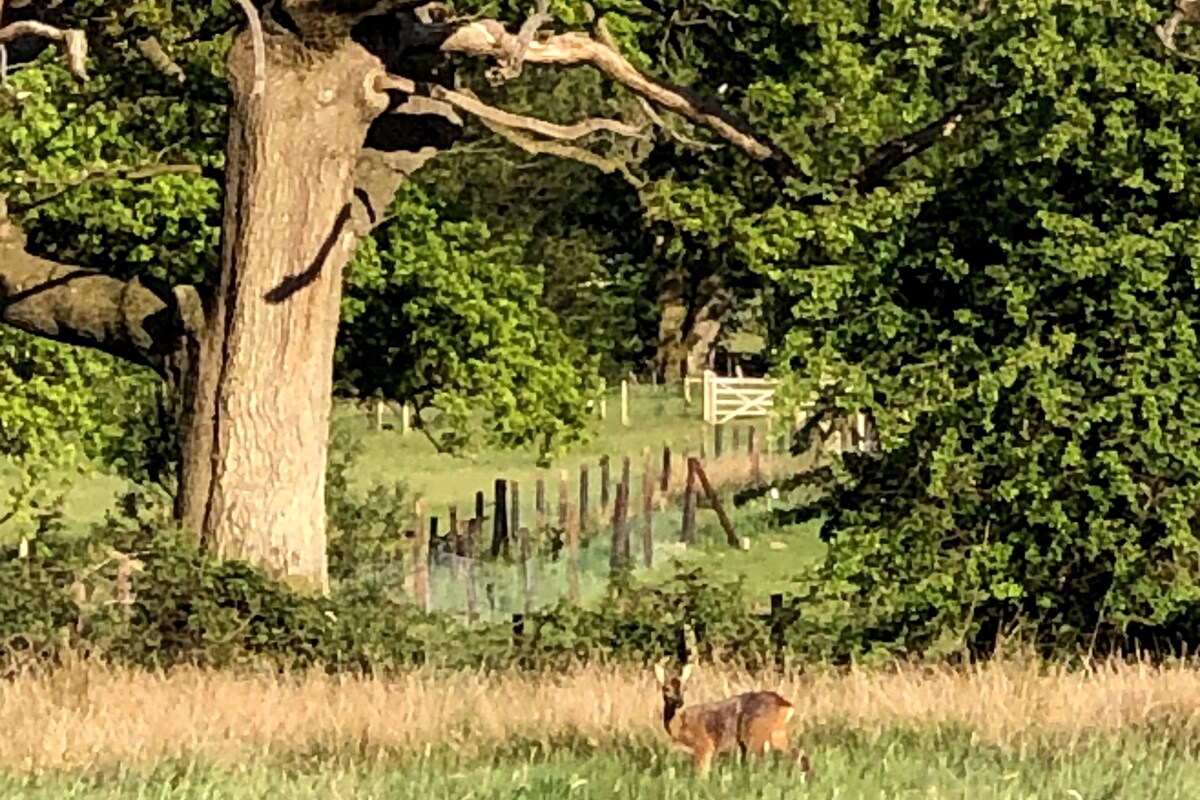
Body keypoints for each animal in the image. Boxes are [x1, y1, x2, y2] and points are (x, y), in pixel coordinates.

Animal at [652, 662, 811, 777]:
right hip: (778, 734)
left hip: (756, 735)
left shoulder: (705, 745)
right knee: (800, 757)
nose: (679, 702)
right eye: (665, 688)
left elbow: (702, 775)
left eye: (685, 688)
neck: (681, 727)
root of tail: (786, 704)